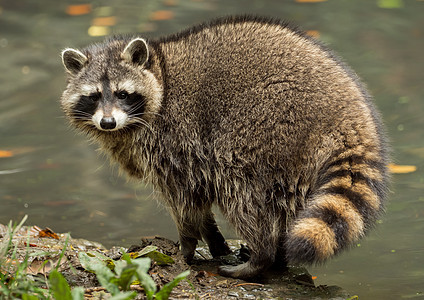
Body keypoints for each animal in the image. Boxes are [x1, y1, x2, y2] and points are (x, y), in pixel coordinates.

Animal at [61, 16, 390, 278]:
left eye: (122, 94)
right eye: (93, 96)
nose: (107, 123)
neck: (160, 73)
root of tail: (350, 114)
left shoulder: (174, 141)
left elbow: (185, 200)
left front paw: (187, 245)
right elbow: (199, 196)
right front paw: (214, 238)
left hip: (266, 128)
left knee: (244, 193)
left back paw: (261, 256)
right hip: (298, 161)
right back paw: (277, 258)